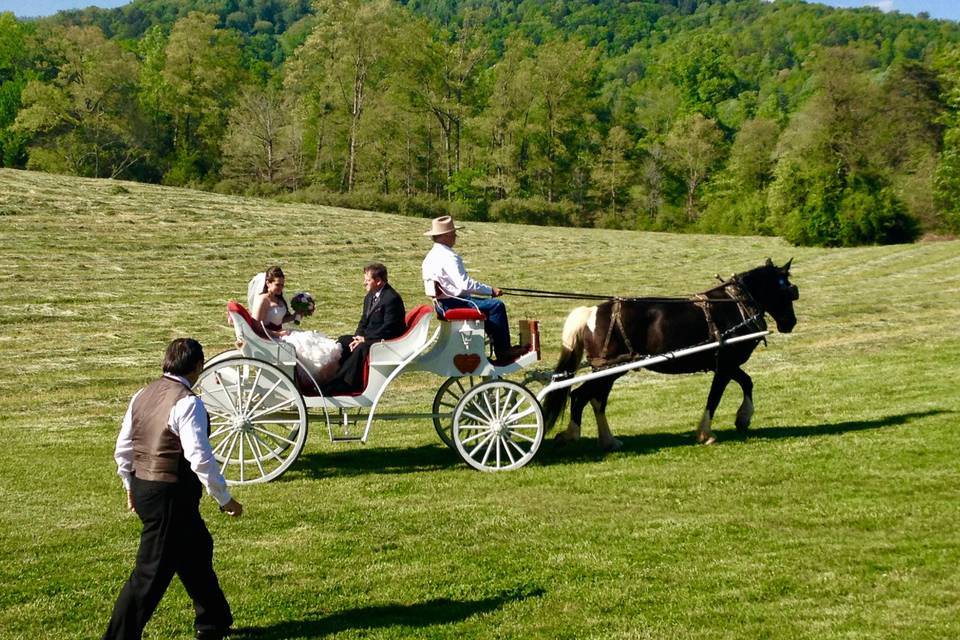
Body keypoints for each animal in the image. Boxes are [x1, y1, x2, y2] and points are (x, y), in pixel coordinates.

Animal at [540, 258, 804, 448]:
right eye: (788, 292)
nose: (790, 323)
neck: (736, 304)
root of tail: (591, 311)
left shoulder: (727, 364)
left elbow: (747, 382)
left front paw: (743, 418)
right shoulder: (725, 364)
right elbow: (715, 397)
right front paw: (706, 433)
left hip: (608, 369)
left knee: (595, 399)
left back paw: (608, 440)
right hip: (609, 368)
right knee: (581, 396)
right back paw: (573, 435)